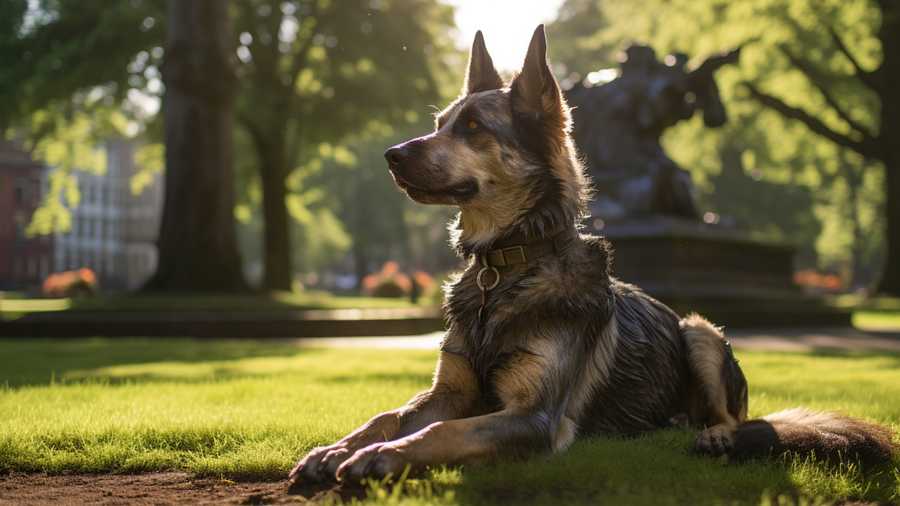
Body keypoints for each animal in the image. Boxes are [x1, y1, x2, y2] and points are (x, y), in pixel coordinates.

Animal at [288, 25, 892, 488]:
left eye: (473, 128)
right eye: (439, 125)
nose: (390, 155)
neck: (505, 270)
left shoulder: (533, 416)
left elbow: (441, 432)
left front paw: (377, 458)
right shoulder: (448, 392)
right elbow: (387, 415)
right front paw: (338, 448)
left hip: (699, 329)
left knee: (733, 415)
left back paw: (713, 433)